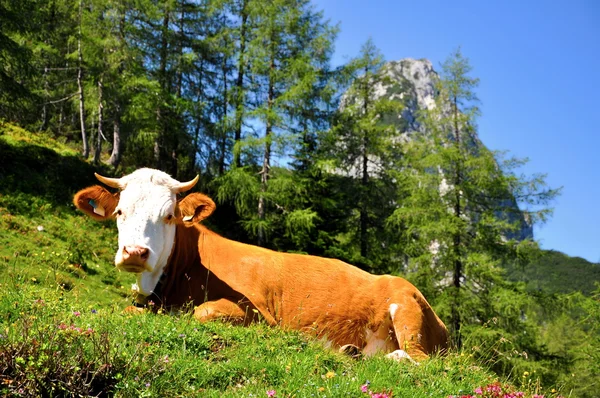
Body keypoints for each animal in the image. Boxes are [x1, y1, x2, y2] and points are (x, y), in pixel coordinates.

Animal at [72, 168, 448, 360]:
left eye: (168, 216)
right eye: (120, 212)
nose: (135, 252)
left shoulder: (258, 313)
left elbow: (202, 313)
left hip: (407, 312)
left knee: (418, 360)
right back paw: (351, 350)